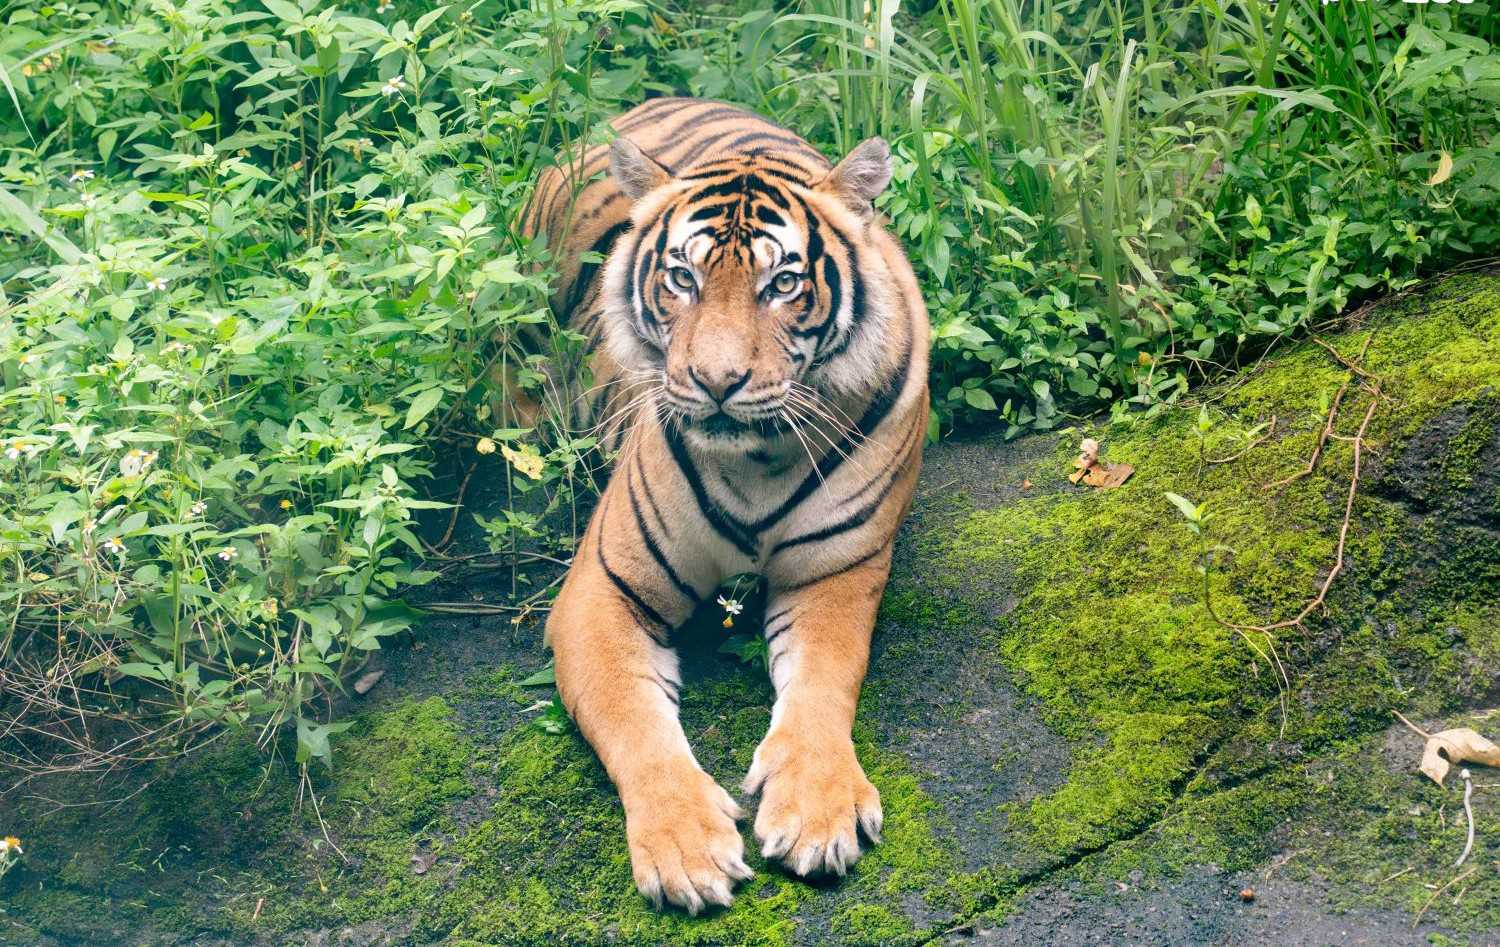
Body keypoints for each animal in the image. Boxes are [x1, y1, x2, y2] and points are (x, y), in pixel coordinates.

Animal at [522, 97, 930, 914]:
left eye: (783, 284)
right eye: (682, 278)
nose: (716, 382)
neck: (758, 459)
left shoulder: (833, 573)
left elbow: (823, 682)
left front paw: (816, 811)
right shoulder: (602, 589)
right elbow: (633, 717)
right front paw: (684, 846)